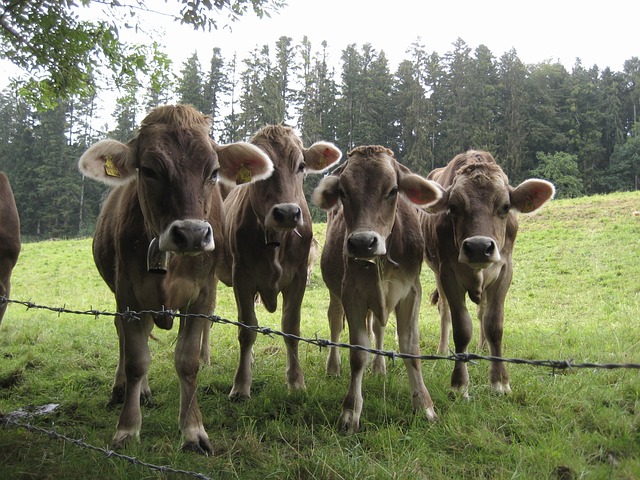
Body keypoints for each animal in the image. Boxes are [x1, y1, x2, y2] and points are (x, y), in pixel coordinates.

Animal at [77, 104, 272, 454]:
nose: (192, 234)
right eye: (149, 170)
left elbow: (187, 361)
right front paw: (127, 428)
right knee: (125, 337)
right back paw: (126, 390)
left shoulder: (201, 294)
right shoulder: (129, 293)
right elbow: (136, 359)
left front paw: (193, 430)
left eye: (213, 171)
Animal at [215, 123, 342, 398]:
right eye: (260, 169)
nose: (286, 213)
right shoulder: (242, 277)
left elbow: (291, 327)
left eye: (302, 165)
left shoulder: (298, 277)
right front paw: (241, 385)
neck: (275, 241)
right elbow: (246, 328)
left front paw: (296, 381)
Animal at [312, 145, 442, 432]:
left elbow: (411, 348)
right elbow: (358, 352)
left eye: (392, 190)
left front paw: (424, 405)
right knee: (335, 322)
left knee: (378, 327)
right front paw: (351, 411)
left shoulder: (411, 293)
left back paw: (380, 367)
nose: (362, 242)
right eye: (343, 191)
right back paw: (333, 366)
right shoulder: (352, 293)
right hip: (335, 293)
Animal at [420, 150, 556, 398]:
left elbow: (494, 324)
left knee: (482, 311)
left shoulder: (504, 270)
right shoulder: (447, 272)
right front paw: (459, 384)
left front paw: (500, 381)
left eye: (505, 206)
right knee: (444, 309)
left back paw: (483, 347)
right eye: (453, 206)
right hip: (435, 271)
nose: (478, 247)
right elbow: (462, 328)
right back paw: (443, 349)